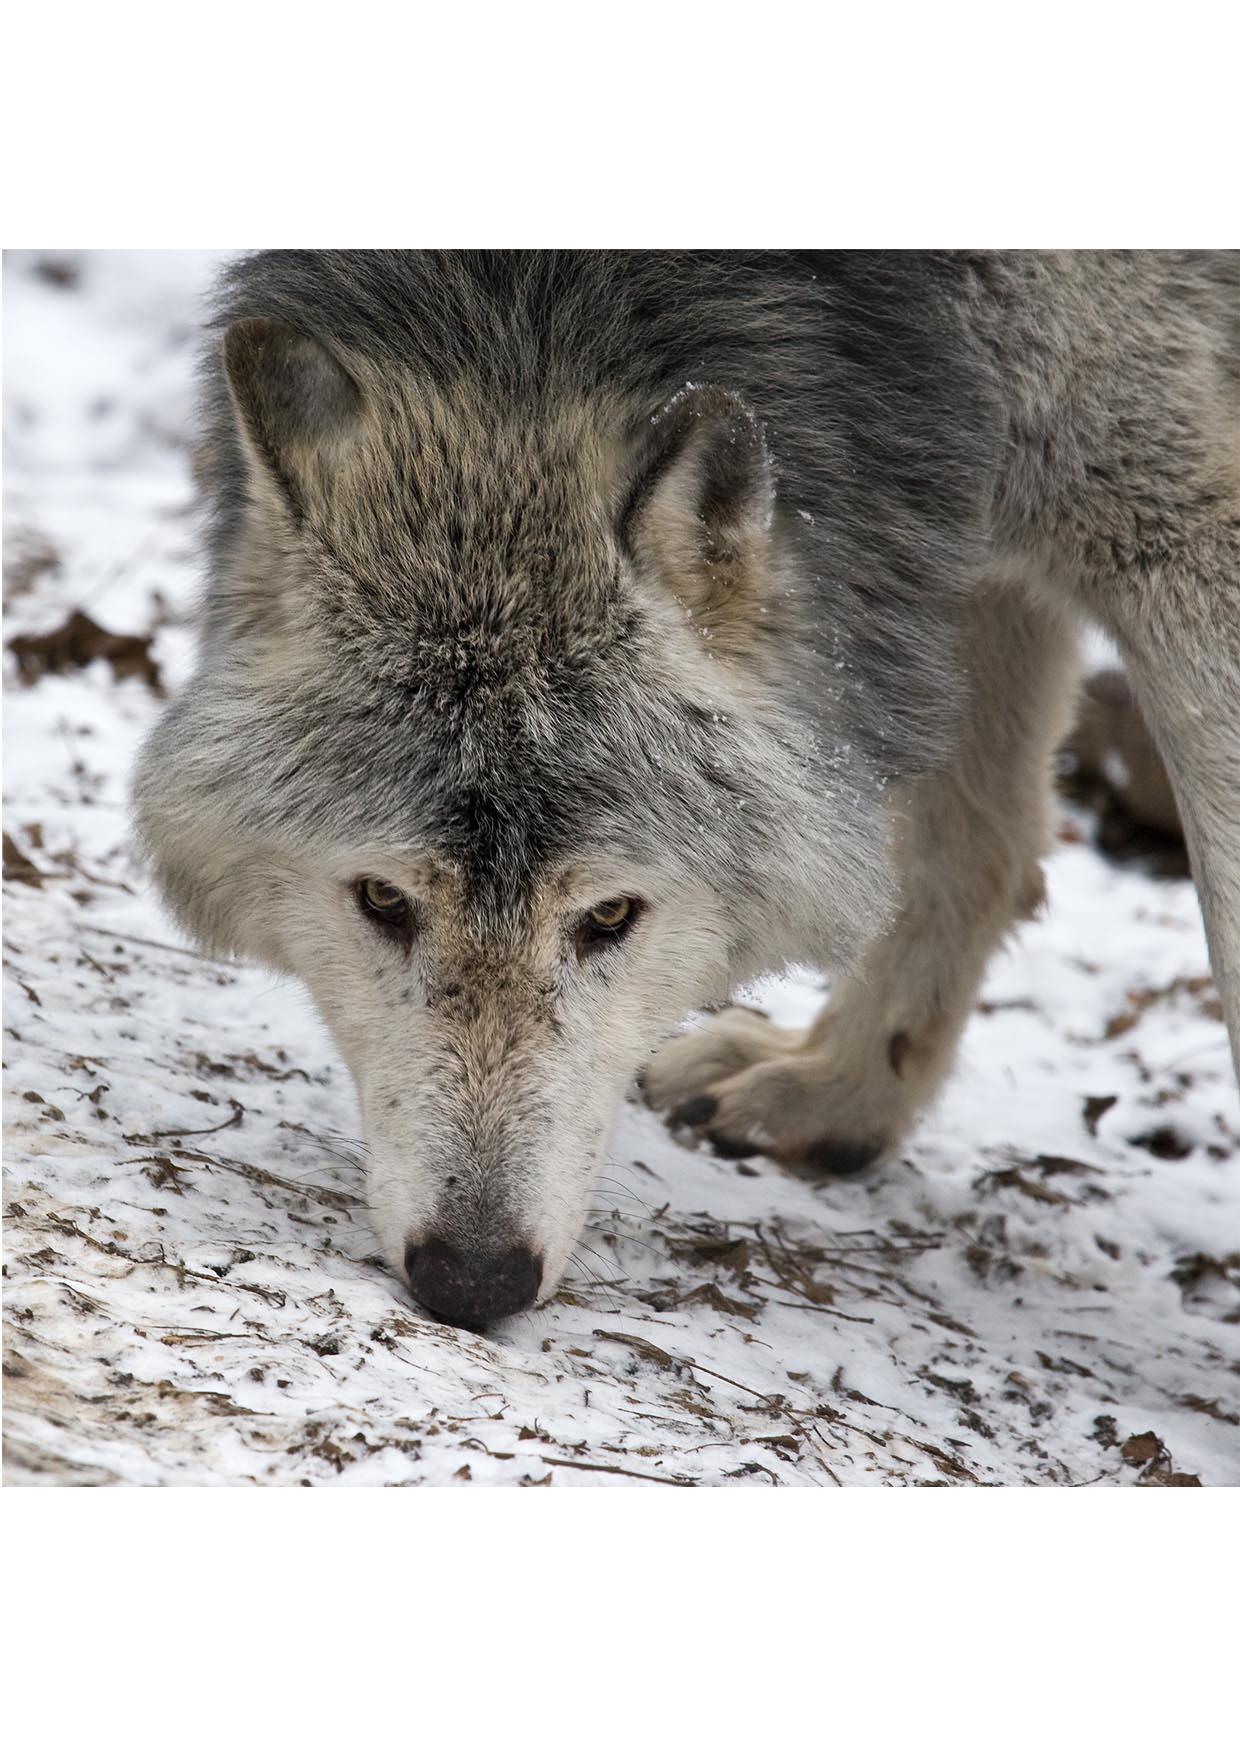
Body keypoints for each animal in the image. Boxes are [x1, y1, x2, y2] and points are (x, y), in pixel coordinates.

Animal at [133, 250, 1240, 1330]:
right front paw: (843, 1095)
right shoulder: (939, 512)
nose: (473, 1279)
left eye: (609, 916)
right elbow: (962, 845)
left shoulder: (1179, 520)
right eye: (381, 900)